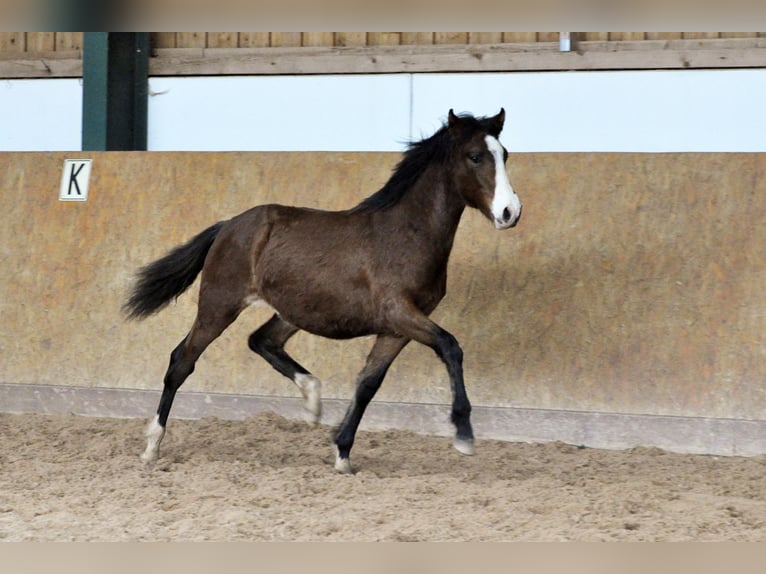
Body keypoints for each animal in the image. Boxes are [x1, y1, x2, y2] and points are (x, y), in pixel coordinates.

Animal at [124, 109, 520, 476]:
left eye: (504, 154)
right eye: (474, 156)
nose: (510, 212)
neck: (406, 234)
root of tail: (228, 226)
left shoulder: (398, 326)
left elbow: (368, 383)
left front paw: (342, 453)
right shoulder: (399, 312)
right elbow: (450, 347)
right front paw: (464, 434)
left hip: (293, 310)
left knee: (262, 340)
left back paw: (313, 401)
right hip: (218, 305)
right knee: (182, 360)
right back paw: (151, 447)